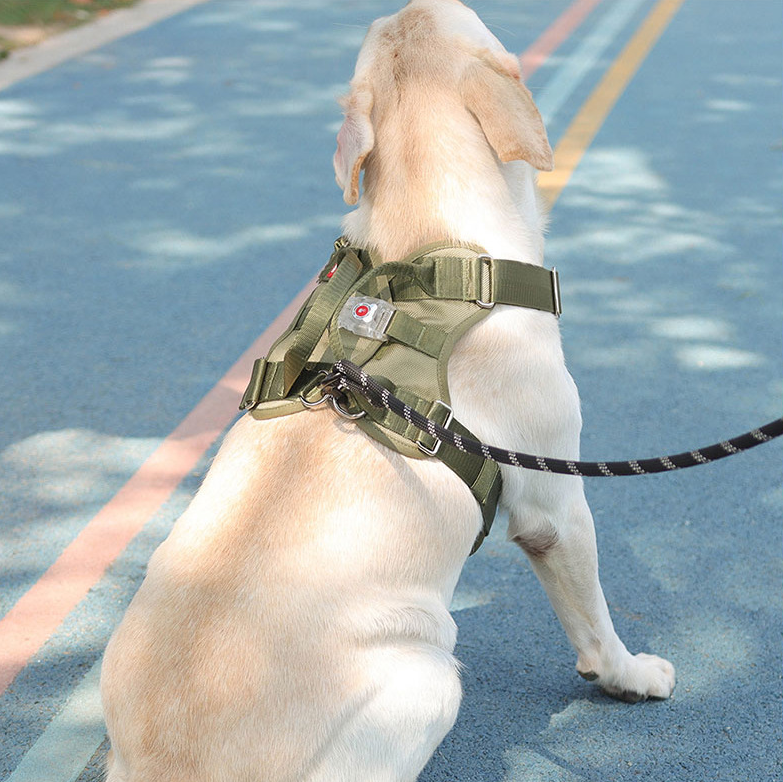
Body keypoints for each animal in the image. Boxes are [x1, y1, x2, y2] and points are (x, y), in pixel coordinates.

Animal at [100, 1, 675, 779]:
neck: (430, 245)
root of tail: (169, 768)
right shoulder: (556, 505)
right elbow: (593, 616)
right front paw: (630, 675)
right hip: (430, 674)